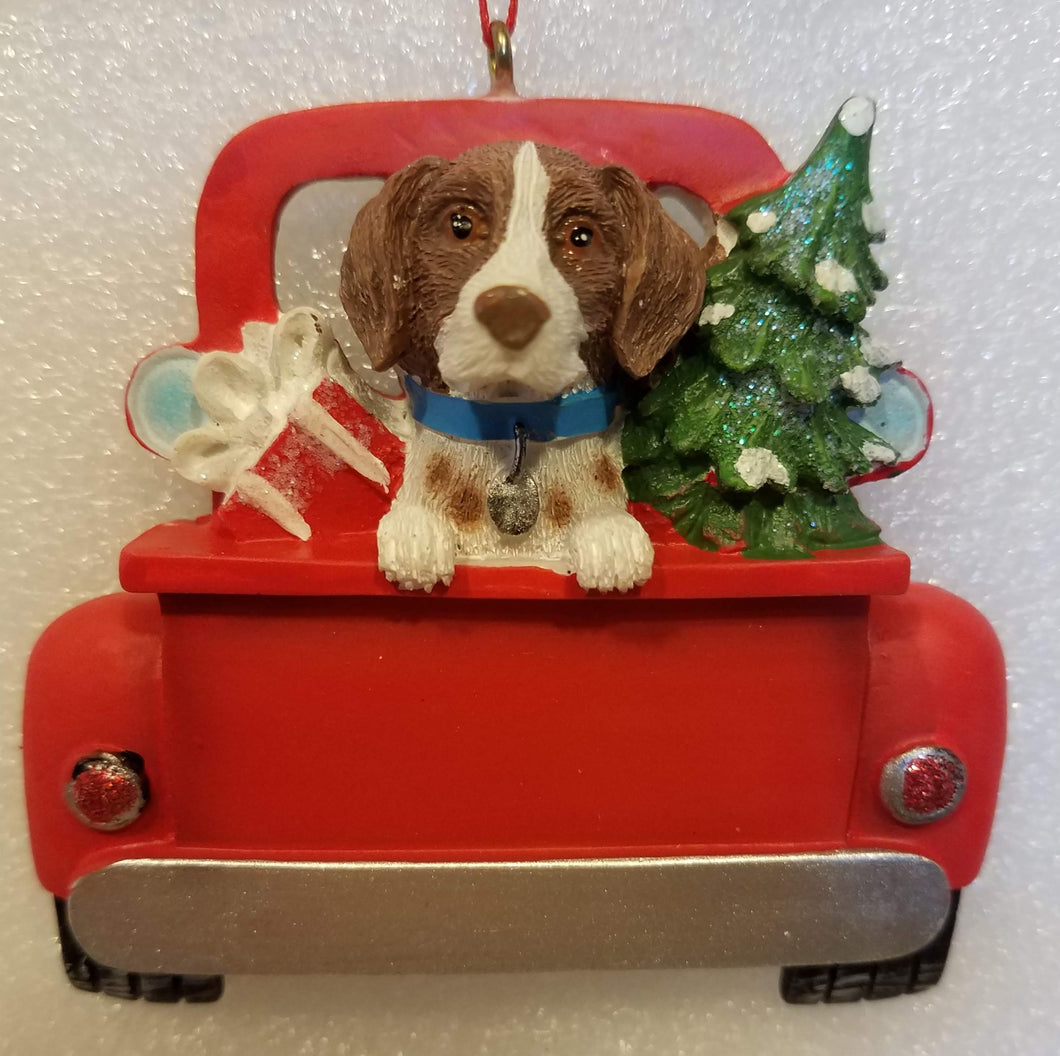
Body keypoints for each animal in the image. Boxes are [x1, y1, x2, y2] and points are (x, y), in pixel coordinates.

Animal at [339, 137, 703, 593]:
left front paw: (609, 533)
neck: (514, 424)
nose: (513, 311)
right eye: (460, 224)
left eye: (581, 236)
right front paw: (415, 531)